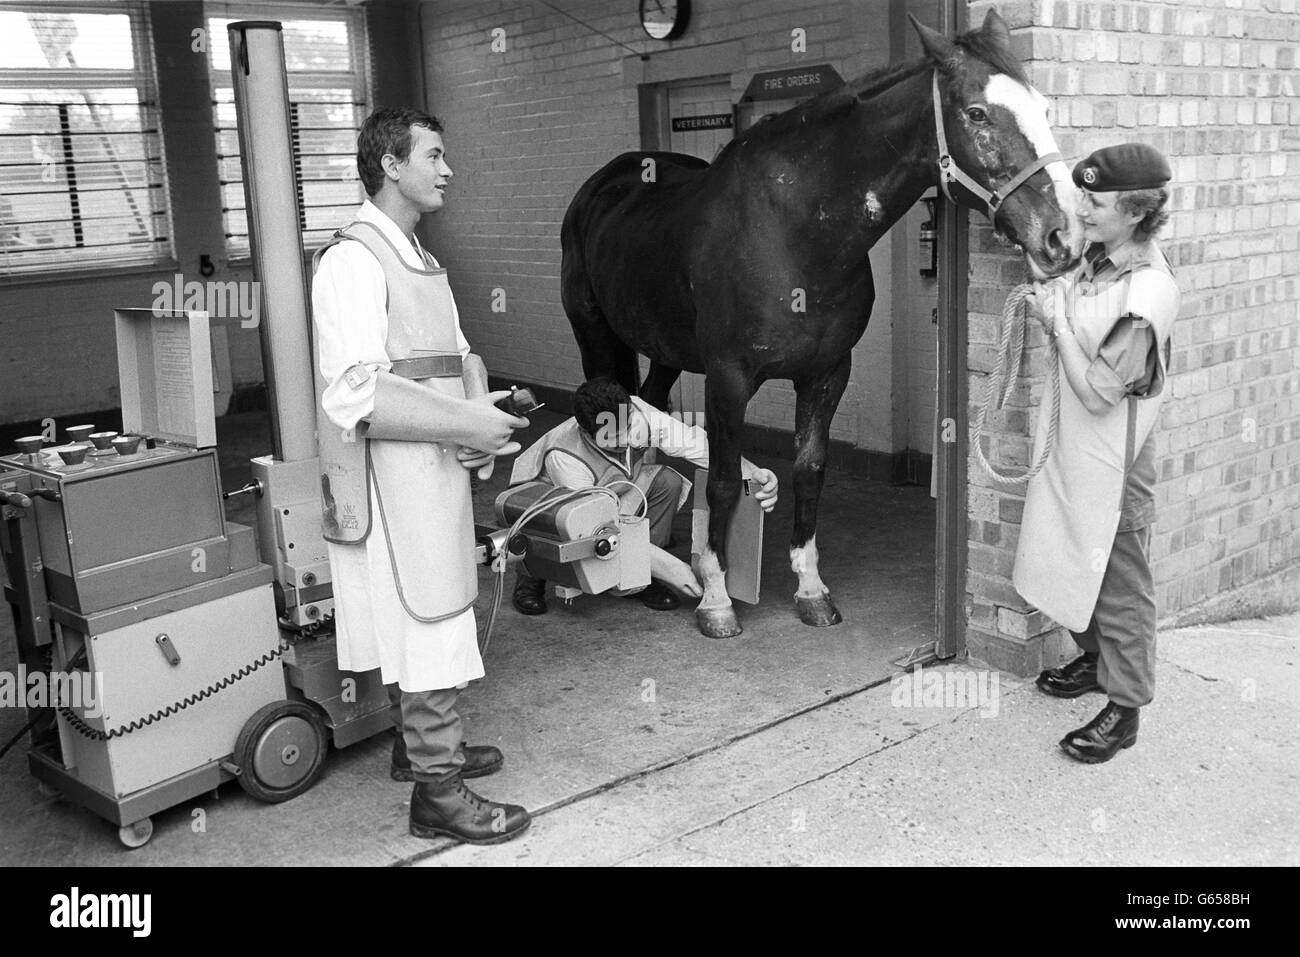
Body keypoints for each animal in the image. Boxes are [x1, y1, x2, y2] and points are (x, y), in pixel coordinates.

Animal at [559, 11, 1076, 639]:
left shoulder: (828, 373)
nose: (1061, 235)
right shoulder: (728, 377)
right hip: (595, 336)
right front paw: (717, 597)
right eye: (976, 113)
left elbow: (810, 471)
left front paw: (809, 589)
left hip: (666, 349)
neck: (794, 230)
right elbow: (725, 477)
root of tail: (601, 186)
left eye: (1043, 108)